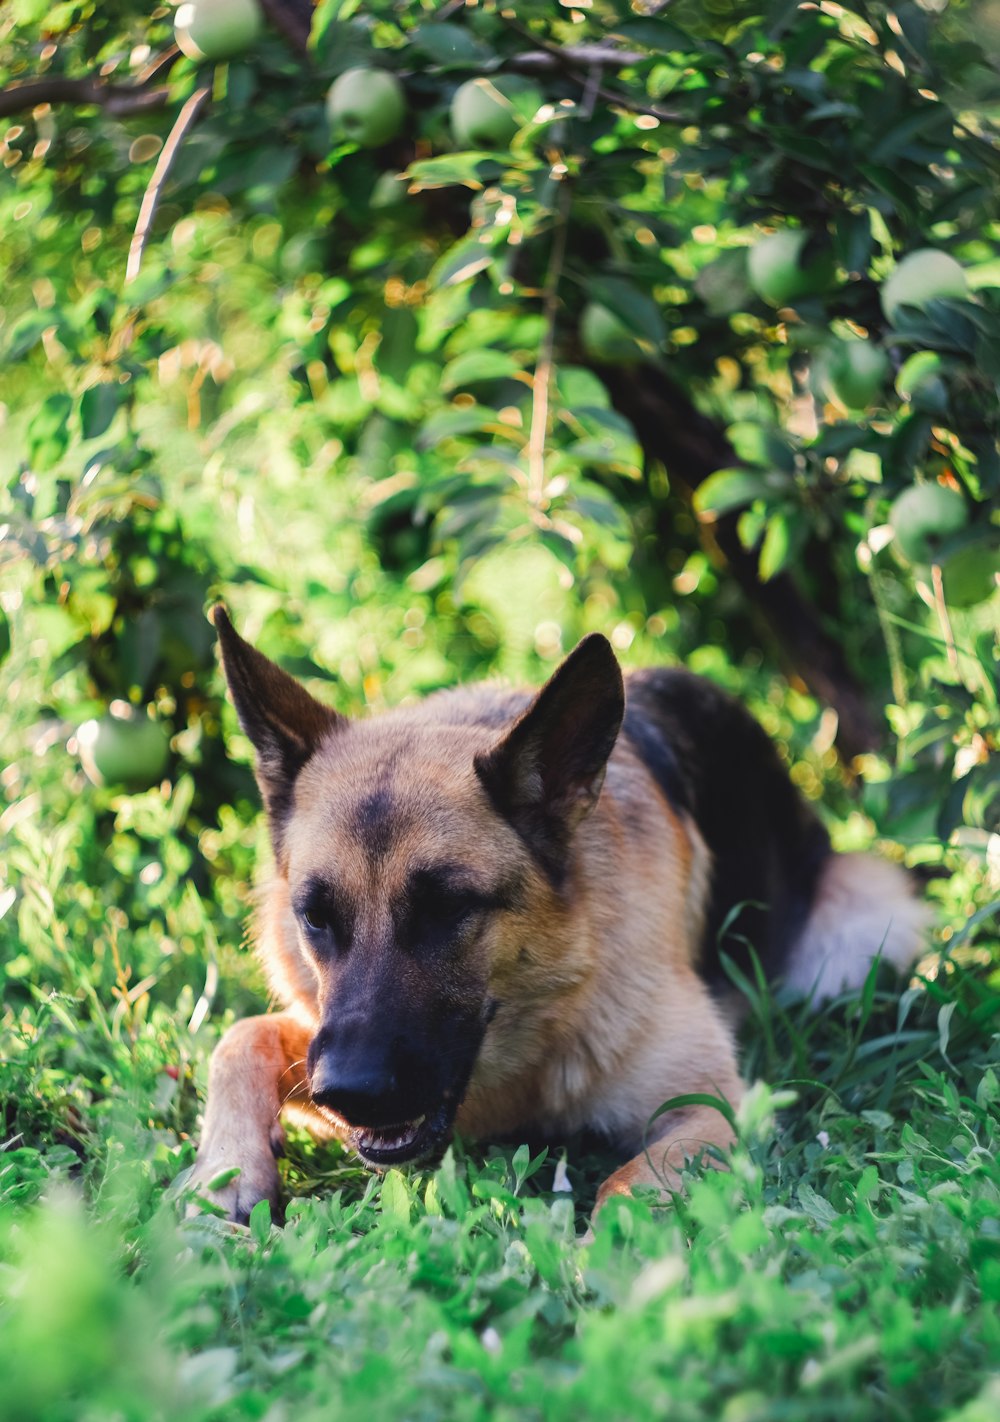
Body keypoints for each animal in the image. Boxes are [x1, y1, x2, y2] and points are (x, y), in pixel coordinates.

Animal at [193, 611, 933, 1222]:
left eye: (448, 908)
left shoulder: (712, 1110)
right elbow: (241, 1036)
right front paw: (223, 1173)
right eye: (316, 917)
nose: (348, 1092)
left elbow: (624, 1188)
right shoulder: (318, 1046)